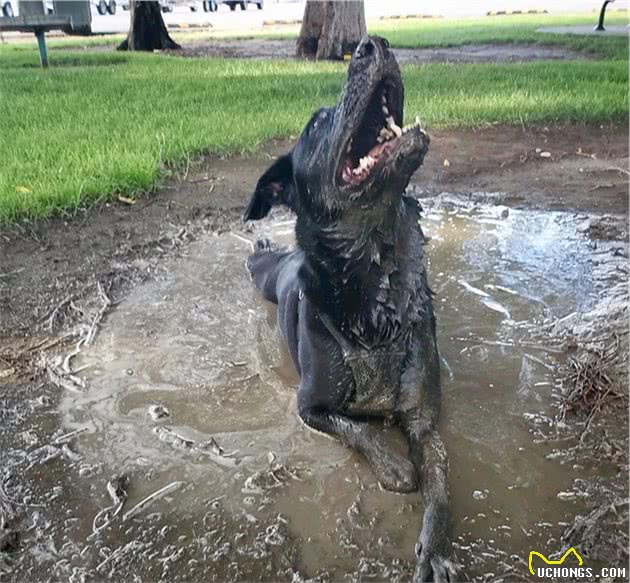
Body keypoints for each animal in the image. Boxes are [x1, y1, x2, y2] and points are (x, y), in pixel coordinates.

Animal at [244, 37, 456, 583]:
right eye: (317, 124)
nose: (372, 44)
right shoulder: (309, 406)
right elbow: (356, 428)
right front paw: (393, 465)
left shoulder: (425, 423)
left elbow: (441, 484)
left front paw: (437, 550)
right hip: (265, 278)